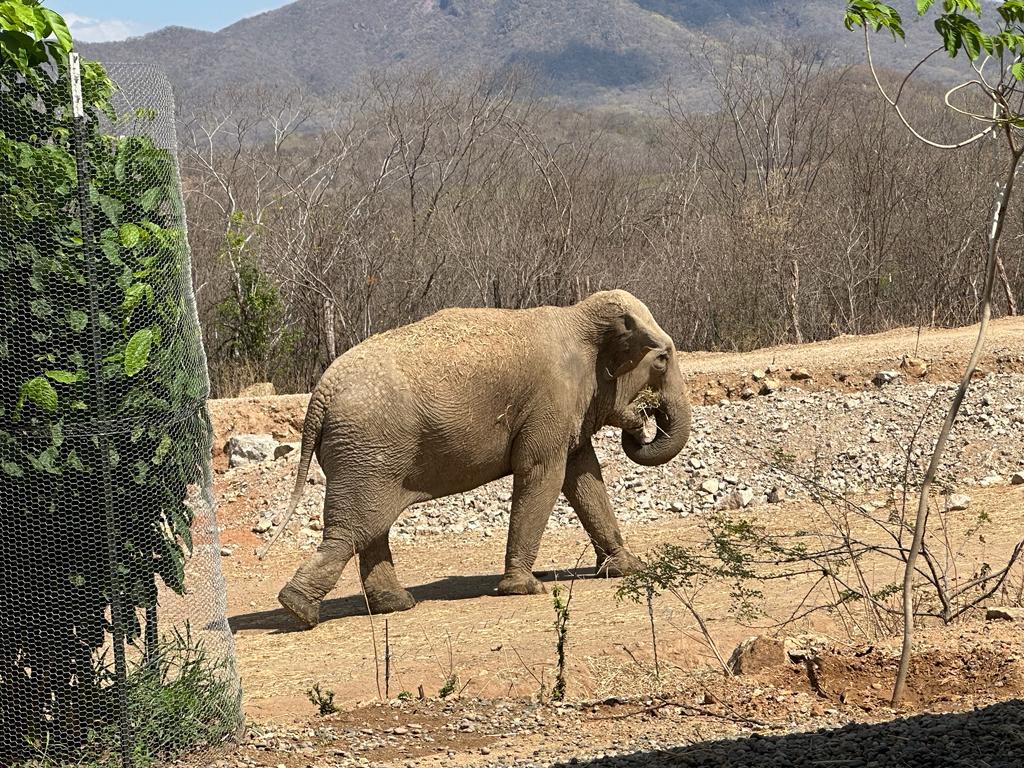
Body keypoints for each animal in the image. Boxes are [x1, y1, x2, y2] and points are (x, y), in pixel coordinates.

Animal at [268, 288, 692, 630]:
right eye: (662, 360)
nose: (645, 418)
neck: (579, 316)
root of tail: (320, 395)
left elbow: (584, 476)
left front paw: (630, 568)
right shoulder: (551, 400)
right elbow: (543, 474)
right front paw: (525, 589)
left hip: (364, 454)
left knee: (372, 528)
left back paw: (395, 605)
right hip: (367, 450)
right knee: (355, 529)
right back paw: (299, 610)